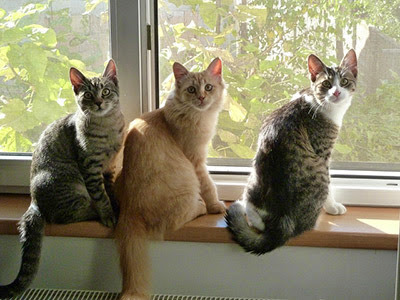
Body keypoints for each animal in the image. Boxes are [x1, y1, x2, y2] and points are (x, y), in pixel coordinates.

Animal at [0, 59, 124, 298]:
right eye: (88, 95)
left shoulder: (109, 167)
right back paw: (94, 211)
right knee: (66, 215)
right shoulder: (90, 167)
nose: (98, 103)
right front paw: (108, 213)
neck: (107, 126)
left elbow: (110, 189)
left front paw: (114, 201)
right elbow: (101, 196)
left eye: (105, 91)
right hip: (69, 184)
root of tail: (33, 202)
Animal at [114, 57, 227, 298]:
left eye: (209, 87)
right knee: (178, 219)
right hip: (186, 186)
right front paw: (216, 205)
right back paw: (201, 206)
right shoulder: (196, 161)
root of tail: (129, 206)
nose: (202, 98)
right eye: (192, 89)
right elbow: (209, 185)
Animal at [227, 49, 358, 255]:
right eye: (326, 84)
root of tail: (283, 219)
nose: (336, 92)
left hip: (254, 173)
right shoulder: (323, 153)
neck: (317, 100)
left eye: (344, 81)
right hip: (317, 171)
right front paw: (332, 206)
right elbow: (330, 184)